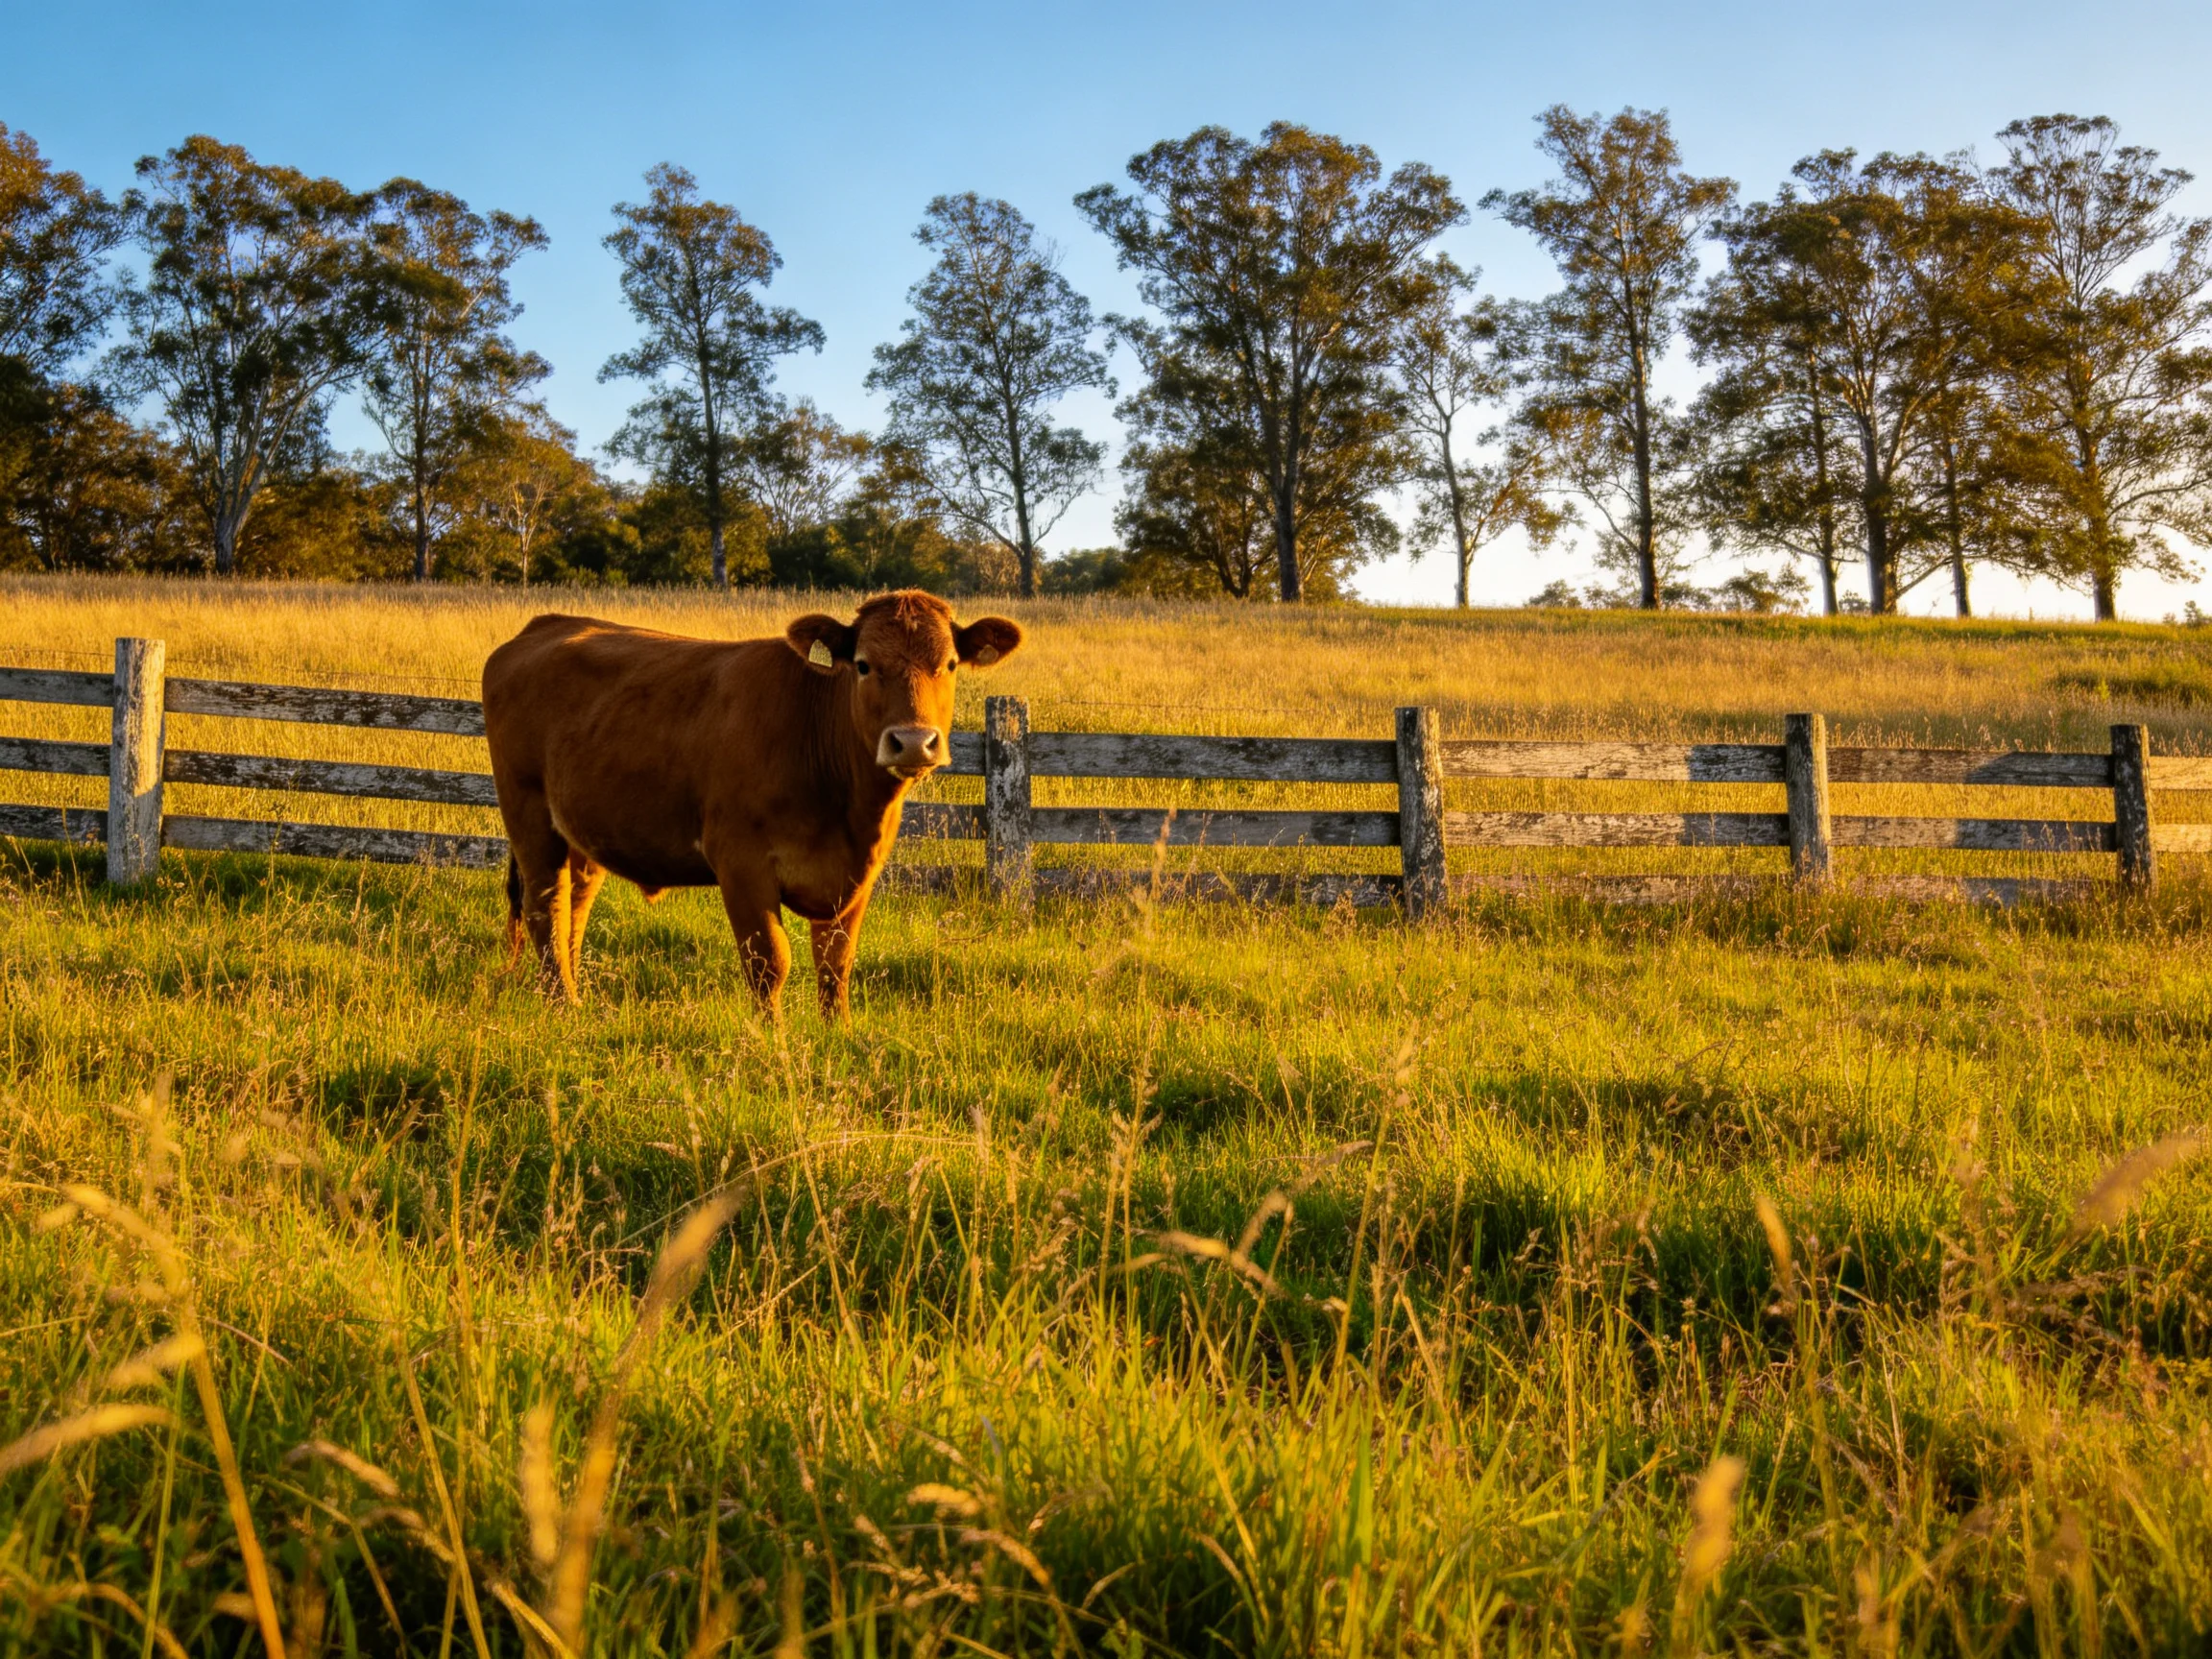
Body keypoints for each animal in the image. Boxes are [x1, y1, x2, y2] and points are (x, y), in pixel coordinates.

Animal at [481, 591, 1022, 1017]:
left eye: (948, 665)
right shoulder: (741, 863)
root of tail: (546, 624)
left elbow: (837, 964)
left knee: (574, 908)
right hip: (528, 815)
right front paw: (773, 1045)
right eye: (864, 664)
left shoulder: (857, 878)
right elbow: (770, 963)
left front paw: (839, 1035)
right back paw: (562, 1006)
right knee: (544, 907)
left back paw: (578, 997)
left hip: (583, 831)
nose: (912, 742)